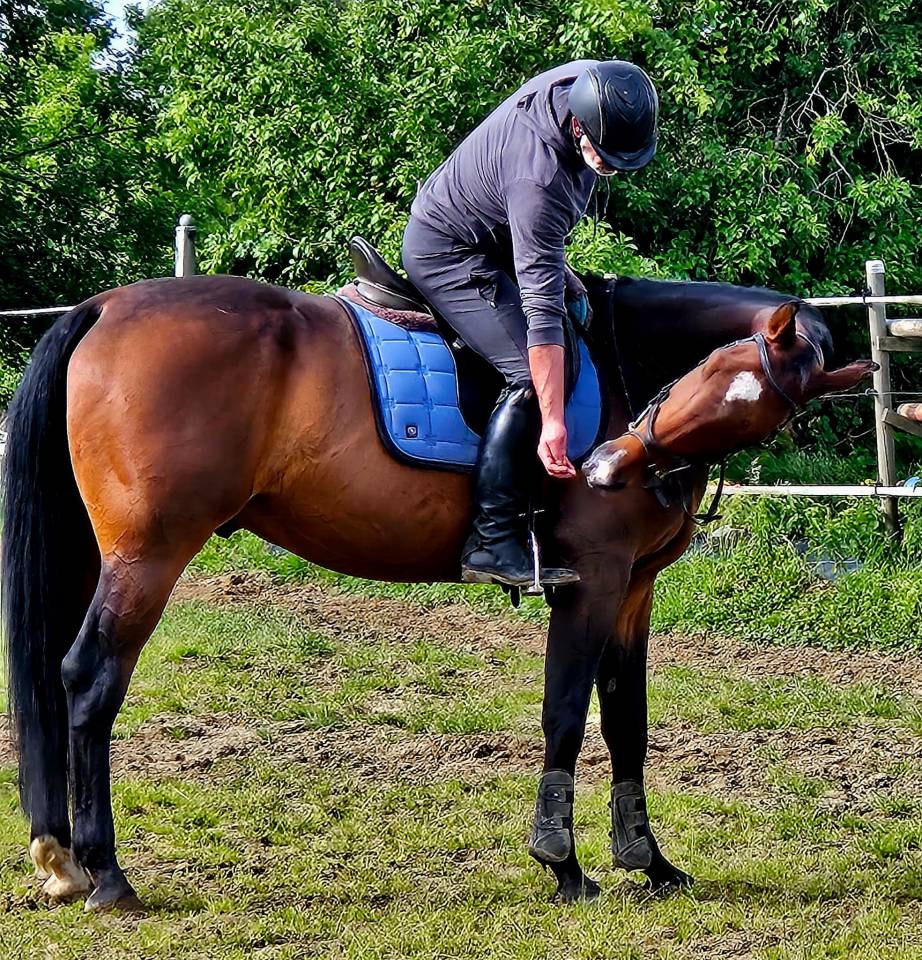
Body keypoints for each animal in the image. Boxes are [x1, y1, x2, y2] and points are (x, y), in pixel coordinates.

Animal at [1, 268, 874, 911]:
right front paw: (562, 864)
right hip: (147, 557)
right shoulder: (591, 583)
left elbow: (628, 720)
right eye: (718, 375)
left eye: (751, 413)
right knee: (90, 681)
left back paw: (63, 858)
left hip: (100, 554)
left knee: (56, 674)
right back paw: (107, 873)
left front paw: (649, 861)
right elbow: (565, 713)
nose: (604, 466)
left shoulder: (634, 590)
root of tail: (104, 306)